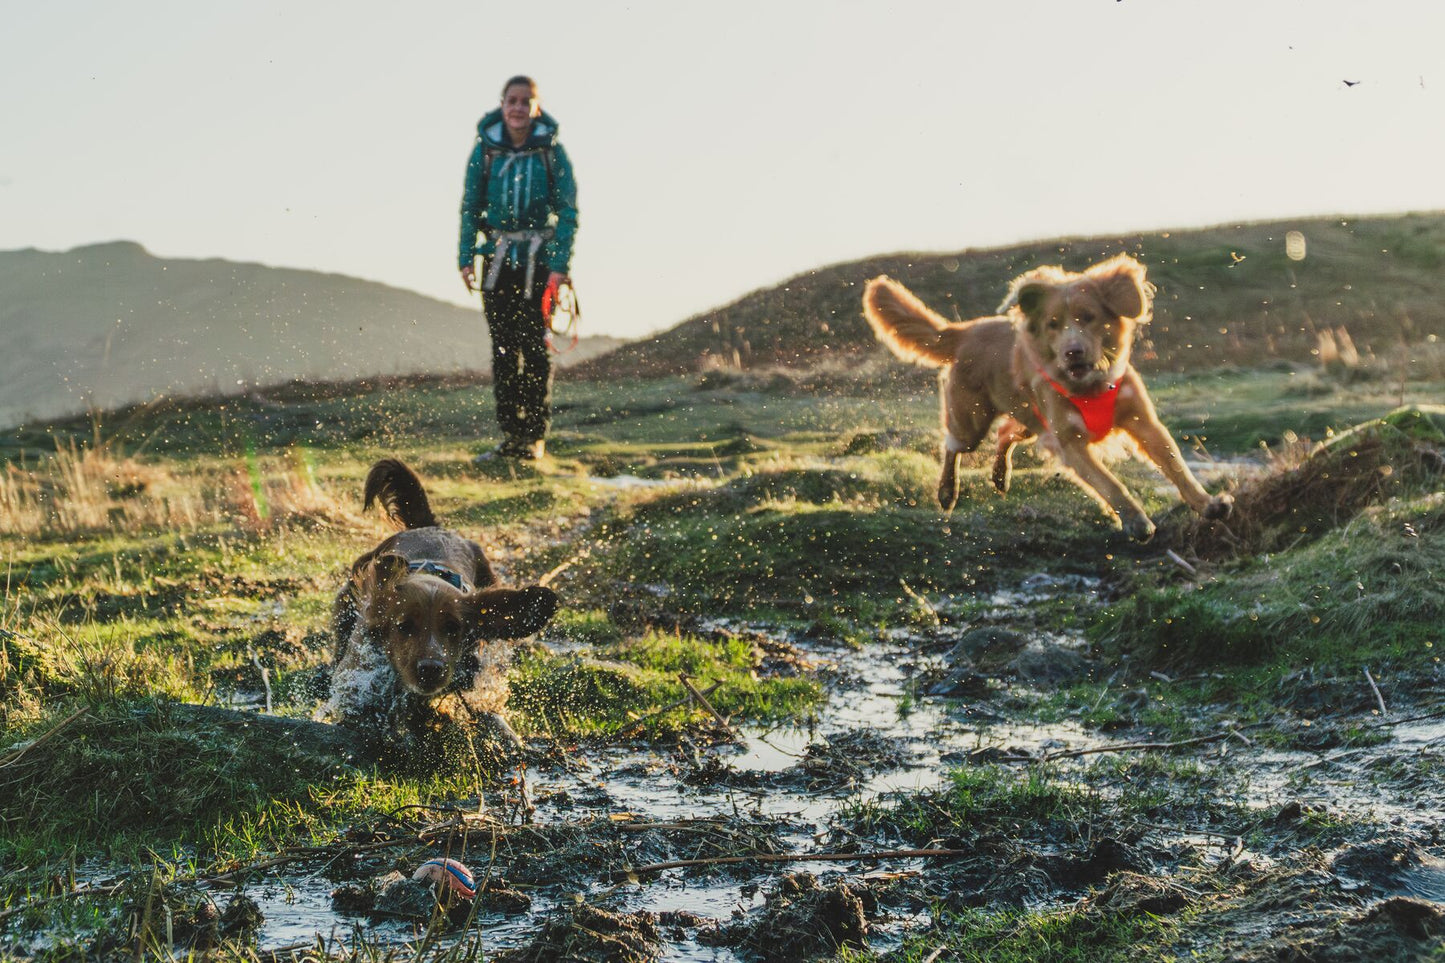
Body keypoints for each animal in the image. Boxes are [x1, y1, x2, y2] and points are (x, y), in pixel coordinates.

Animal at [861, 253, 1236, 540]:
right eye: (1053, 324)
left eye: (1089, 317)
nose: (1073, 352)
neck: (1092, 386)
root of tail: (965, 331)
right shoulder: (1070, 443)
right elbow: (1110, 484)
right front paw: (1135, 521)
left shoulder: (1143, 422)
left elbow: (1177, 467)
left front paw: (1207, 503)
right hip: (972, 421)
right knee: (953, 445)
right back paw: (946, 491)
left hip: (1030, 419)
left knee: (1005, 433)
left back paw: (1000, 475)